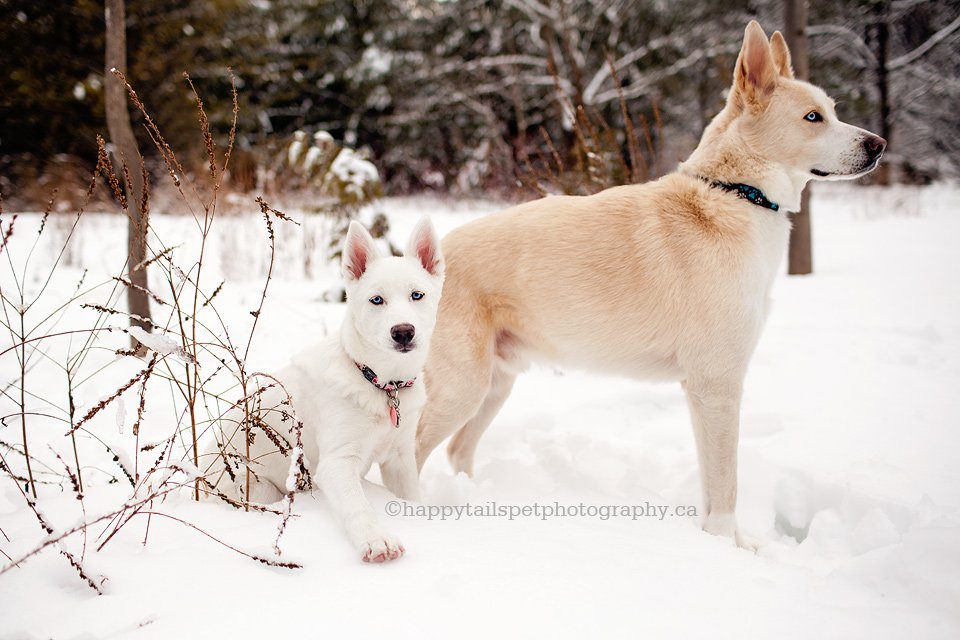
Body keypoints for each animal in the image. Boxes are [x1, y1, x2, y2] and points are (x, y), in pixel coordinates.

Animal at [207, 218, 446, 564]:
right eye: (377, 300)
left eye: (417, 295)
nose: (403, 332)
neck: (381, 383)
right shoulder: (337, 464)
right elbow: (358, 506)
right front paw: (376, 540)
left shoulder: (400, 459)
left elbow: (411, 496)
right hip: (257, 486)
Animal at [412, 22, 884, 548]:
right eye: (813, 117)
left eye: (833, 111)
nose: (879, 144)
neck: (738, 195)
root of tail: (410, 265)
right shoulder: (718, 385)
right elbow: (727, 484)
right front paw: (729, 548)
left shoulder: (700, 392)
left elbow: (710, 483)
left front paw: (719, 543)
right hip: (460, 388)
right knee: (406, 454)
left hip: (494, 385)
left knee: (457, 451)